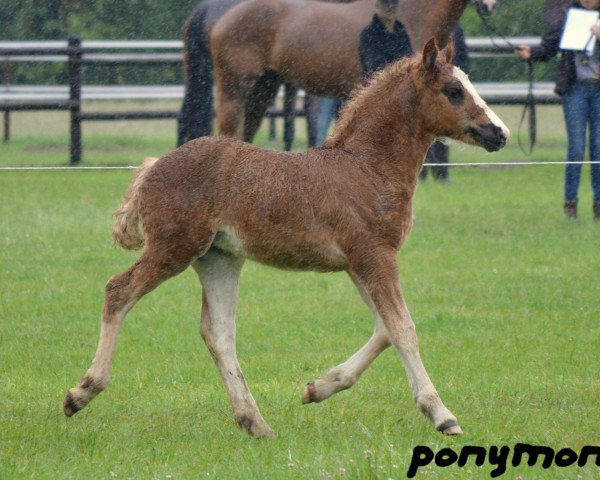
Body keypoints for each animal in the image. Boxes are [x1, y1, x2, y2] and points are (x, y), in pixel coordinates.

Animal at [63, 40, 508, 438]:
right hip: (174, 249)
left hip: (218, 258)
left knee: (218, 331)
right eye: (454, 91)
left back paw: (255, 423)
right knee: (118, 290)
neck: (367, 168)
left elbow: (384, 328)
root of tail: (154, 167)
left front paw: (319, 387)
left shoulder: (359, 264)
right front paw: (442, 415)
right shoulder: (374, 256)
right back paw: (81, 393)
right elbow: (402, 328)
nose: (499, 133)